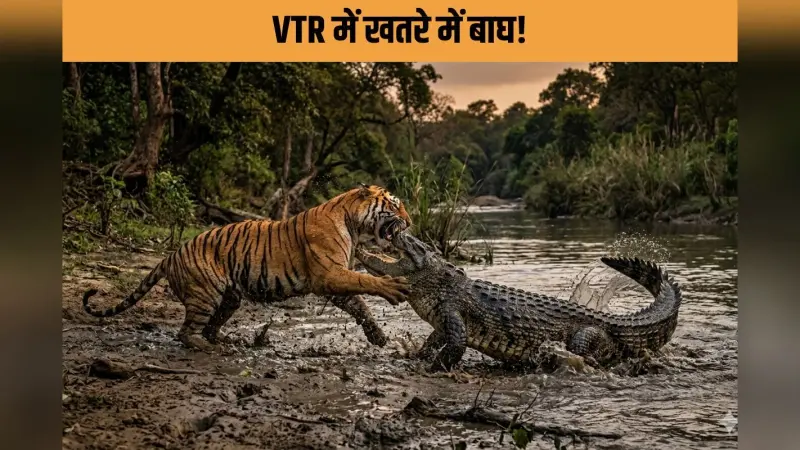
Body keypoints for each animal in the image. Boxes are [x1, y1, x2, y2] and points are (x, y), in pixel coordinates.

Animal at [82, 184, 413, 352]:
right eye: (395, 204)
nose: (409, 222)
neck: (353, 223)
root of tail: (169, 256)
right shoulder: (329, 275)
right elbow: (365, 283)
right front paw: (394, 287)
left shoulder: (334, 283)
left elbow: (360, 305)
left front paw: (379, 338)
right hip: (205, 295)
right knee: (186, 333)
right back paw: (209, 347)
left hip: (229, 298)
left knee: (210, 327)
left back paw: (228, 340)